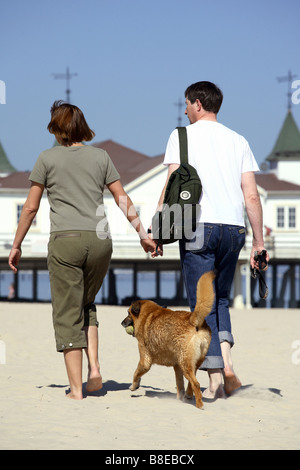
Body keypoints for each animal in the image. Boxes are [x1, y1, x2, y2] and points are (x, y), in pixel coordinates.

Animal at [120, 270, 214, 410]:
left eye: (128, 313)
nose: (121, 323)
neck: (148, 314)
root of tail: (194, 320)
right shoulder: (176, 366)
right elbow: (180, 385)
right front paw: (179, 398)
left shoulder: (145, 360)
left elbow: (136, 373)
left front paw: (133, 386)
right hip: (191, 364)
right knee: (191, 383)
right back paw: (188, 397)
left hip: (185, 364)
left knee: (196, 383)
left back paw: (199, 404)